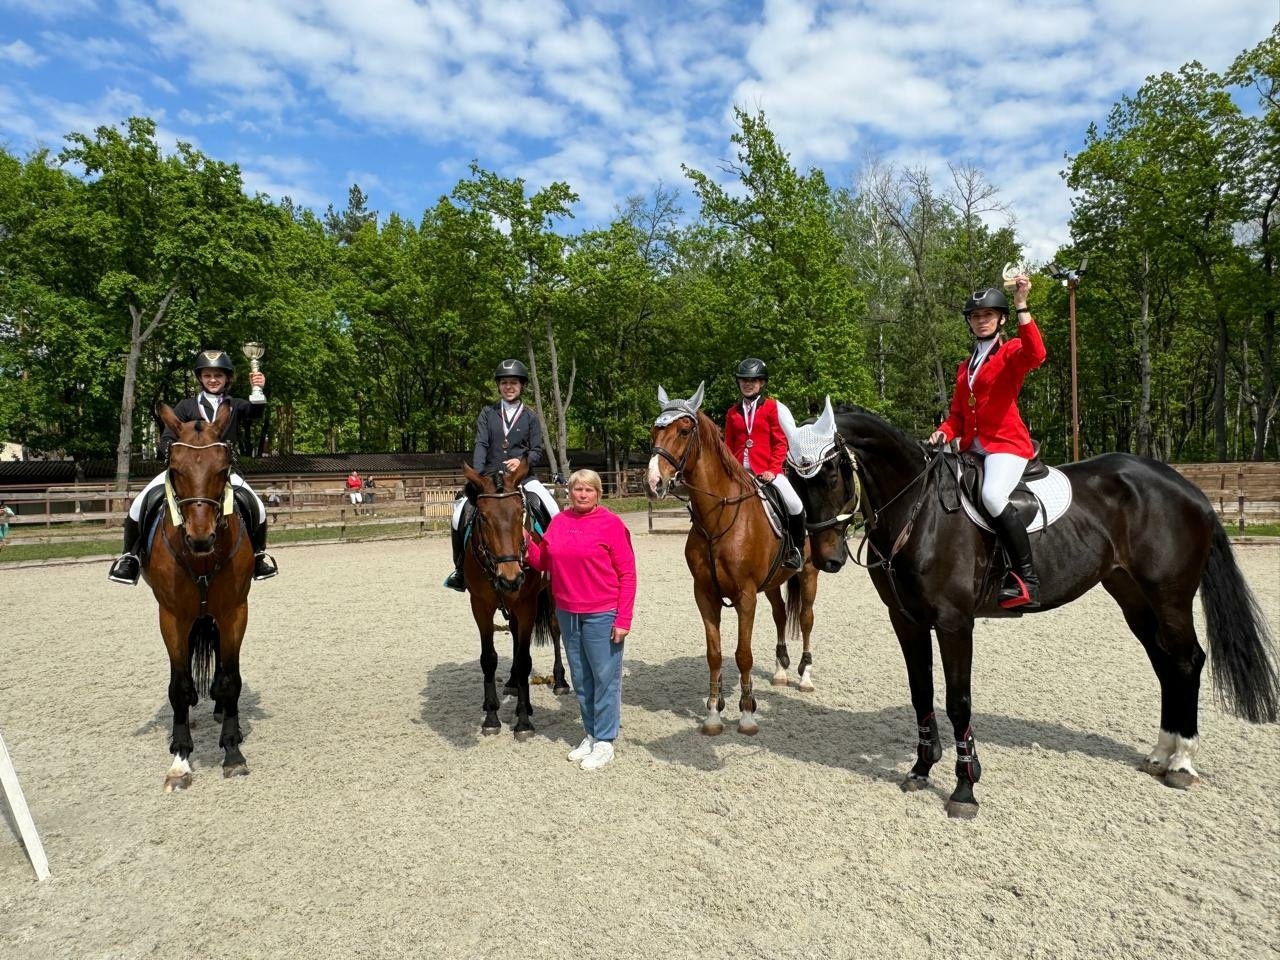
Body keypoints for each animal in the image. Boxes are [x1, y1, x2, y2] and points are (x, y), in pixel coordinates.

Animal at [144, 401, 256, 793]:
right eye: (174, 469)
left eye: (222, 470)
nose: (201, 538)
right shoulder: (172, 617)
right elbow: (178, 686)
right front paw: (180, 760)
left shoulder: (235, 611)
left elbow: (230, 680)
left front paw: (233, 752)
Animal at [455, 463, 565, 742]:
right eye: (483, 518)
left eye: (519, 515)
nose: (510, 578)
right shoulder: (480, 606)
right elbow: (488, 658)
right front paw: (491, 717)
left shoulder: (526, 605)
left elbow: (525, 659)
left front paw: (523, 721)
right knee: (515, 636)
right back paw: (514, 683)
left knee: (555, 628)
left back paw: (560, 682)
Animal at [650, 384, 819, 737]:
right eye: (654, 430)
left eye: (683, 431)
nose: (654, 482)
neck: (718, 517)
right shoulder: (705, 594)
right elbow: (714, 654)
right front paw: (714, 713)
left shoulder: (744, 596)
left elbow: (743, 655)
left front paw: (747, 714)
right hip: (772, 583)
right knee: (780, 615)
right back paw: (781, 671)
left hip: (808, 574)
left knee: (806, 618)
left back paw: (804, 676)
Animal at [778, 399, 1280, 819]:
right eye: (794, 480)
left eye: (833, 473)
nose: (827, 559)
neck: (921, 513)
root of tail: (1183, 485)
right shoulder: (906, 621)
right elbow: (921, 693)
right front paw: (921, 769)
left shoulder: (955, 624)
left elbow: (957, 701)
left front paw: (965, 789)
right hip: (1132, 595)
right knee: (1165, 662)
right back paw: (1161, 754)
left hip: (1169, 595)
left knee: (1187, 660)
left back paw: (1182, 764)